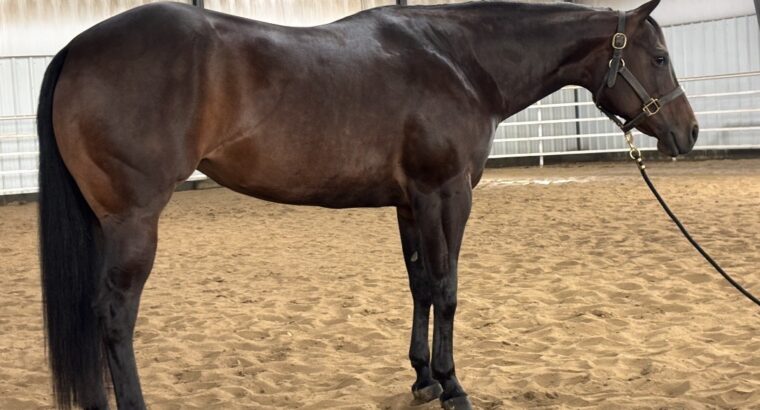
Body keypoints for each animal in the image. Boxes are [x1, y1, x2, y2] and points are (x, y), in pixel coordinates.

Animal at [37, 0, 698, 408]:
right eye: (660, 58)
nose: (688, 134)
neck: (458, 60)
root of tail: (77, 46)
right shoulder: (447, 194)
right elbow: (448, 289)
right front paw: (453, 386)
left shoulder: (409, 203)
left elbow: (420, 286)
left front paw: (423, 379)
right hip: (133, 223)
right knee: (114, 316)